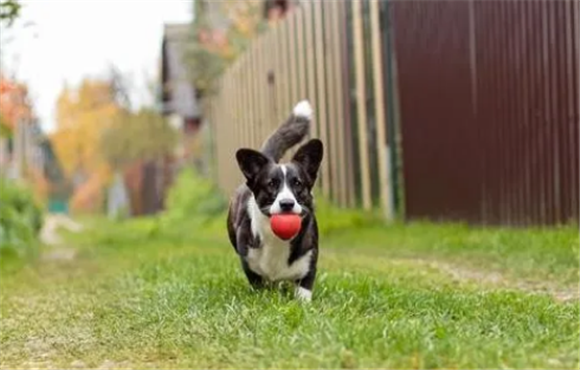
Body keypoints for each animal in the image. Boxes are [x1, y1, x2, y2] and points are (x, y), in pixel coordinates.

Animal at [227, 100, 324, 300]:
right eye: (271, 184)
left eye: (298, 183)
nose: (287, 204)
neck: (277, 239)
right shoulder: (249, 262)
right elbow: (256, 281)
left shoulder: (309, 262)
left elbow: (304, 290)